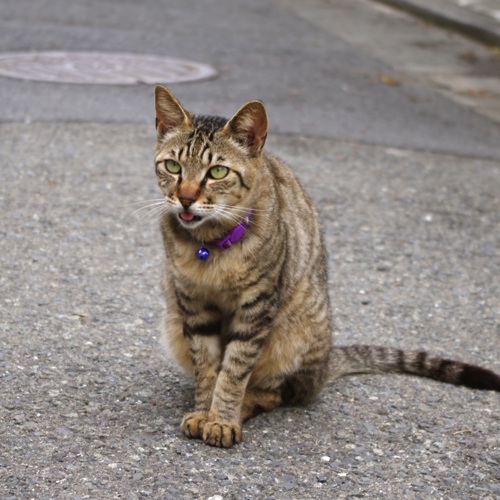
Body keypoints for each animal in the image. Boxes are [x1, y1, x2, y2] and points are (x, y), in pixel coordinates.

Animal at [152, 84, 500, 448]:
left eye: (217, 172)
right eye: (173, 166)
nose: (186, 198)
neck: (208, 245)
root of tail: (324, 366)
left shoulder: (255, 309)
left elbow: (233, 372)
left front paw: (221, 419)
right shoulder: (193, 307)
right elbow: (207, 368)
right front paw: (204, 411)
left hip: (295, 334)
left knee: (278, 393)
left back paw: (246, 404)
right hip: (174, 324)